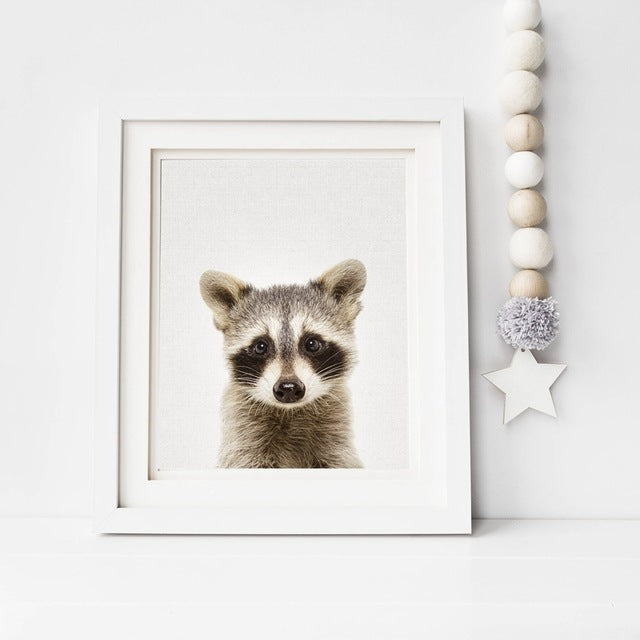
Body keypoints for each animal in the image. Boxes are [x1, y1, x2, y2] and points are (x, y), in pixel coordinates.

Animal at [199, 259, 366, 469]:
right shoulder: (245, 439)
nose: (288, 388)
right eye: (260, 346)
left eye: (312, 343)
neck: (291, 412)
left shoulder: (335, 441)